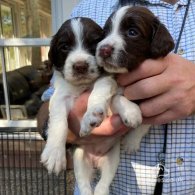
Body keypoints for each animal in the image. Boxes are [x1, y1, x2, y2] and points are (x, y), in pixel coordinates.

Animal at [40, 17, 104, 174]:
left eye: (94, 43)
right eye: (64, 47)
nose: (80, 66)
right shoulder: (60, 96)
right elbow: (59, 122)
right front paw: (55, 155)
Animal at [77, 5, 174, 194]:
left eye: (132, 32)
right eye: (105, 32)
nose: (103, 49)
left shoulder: (155, 98)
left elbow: (147, 121)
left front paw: (131, 141)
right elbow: (116, 98)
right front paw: (132, 112)